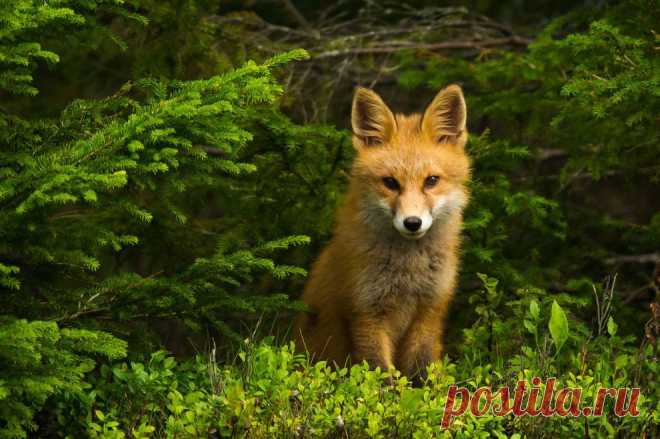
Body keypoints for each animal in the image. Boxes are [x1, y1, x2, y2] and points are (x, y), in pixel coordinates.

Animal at [294, 84, 470, 380]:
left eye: (431, 181)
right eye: (390, 183)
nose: (412, 223)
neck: (408, 273)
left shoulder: (429, 311)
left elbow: (422, 370)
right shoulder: (366, 312)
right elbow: (378, 373)